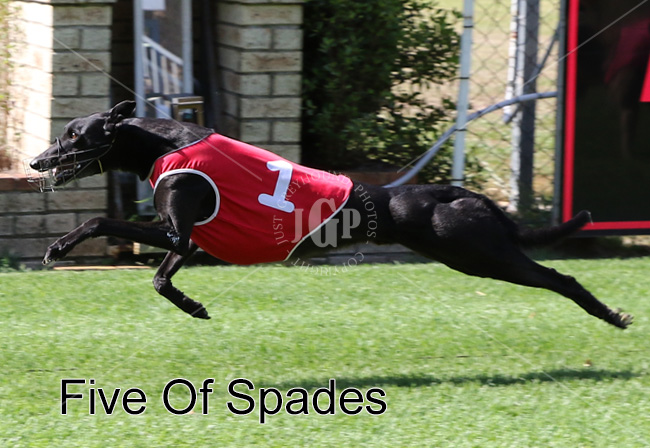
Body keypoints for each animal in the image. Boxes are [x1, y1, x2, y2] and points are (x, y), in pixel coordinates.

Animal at [29, 101, 633, 329]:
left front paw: (60, 246)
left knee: (559, 276)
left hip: (479, 253)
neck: (162, 142)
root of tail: (453, 193)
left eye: (73, 135)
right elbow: (161, 279)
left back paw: (610, 314)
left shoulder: (178, 229)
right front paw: (193, 306)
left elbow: (102, 224)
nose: (35, 162)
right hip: (471, 253)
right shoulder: (191, 241)